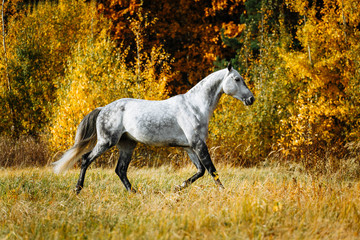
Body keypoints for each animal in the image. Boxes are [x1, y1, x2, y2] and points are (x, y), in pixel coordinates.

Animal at [52, 62, 256, 194]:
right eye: (237, 79)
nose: (251, 99)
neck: (195, 106)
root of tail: (103, 109)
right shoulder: (198, 144)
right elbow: (212, 170)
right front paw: (224, 192)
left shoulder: (190, 147)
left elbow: (200, 171)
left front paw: (178, 188)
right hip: (106, 142)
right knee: (86, 160)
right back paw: (77, 189)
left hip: (127, 145)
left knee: (120, 170)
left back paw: (134, 193)